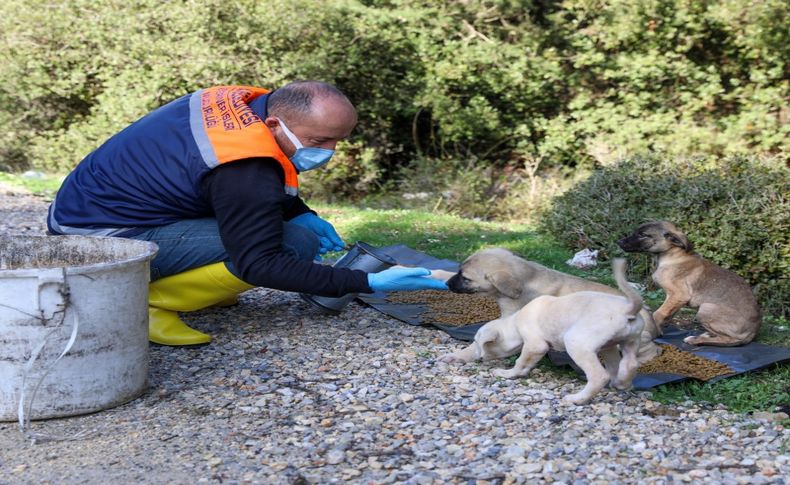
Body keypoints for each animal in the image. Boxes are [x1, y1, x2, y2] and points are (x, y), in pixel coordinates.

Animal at [442, 258, 648, 404]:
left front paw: (508, 373)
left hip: (577, 342)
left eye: (479, 343)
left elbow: (521, 361)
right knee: (628, 364)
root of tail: (628, 308)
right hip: (620, 344)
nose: (479, 357)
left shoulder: (536, 345)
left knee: (599, 375)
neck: (516, 320)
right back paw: (622, 383)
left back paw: (578, 399)